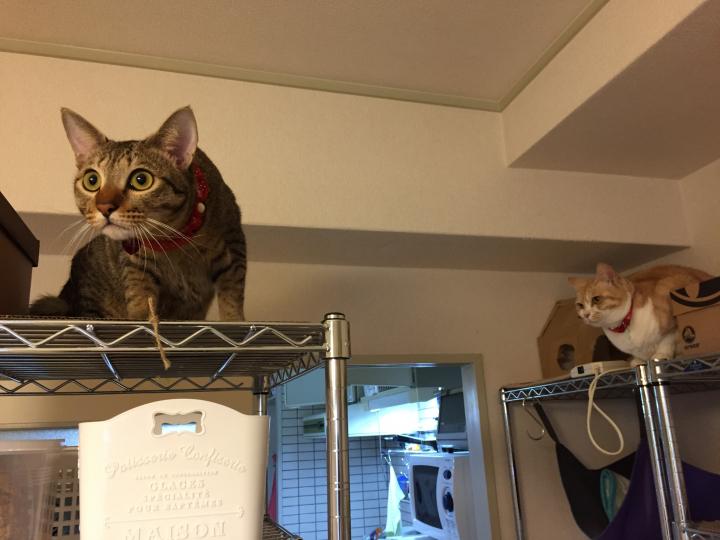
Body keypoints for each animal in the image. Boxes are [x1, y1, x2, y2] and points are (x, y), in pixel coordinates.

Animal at [30, 106, 247, 320]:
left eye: (141, 180)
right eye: (91, 180)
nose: (104, 207)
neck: (174, 241)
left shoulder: (234, 248)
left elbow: (232, 296)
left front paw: (233, 318)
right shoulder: (134, 262)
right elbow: (139, 296)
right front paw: (142, 318)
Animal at [569, 263, 711, 362]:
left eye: (596, 299)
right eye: (580, 305)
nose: (585, 315)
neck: (624, 327)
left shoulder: (670, 318)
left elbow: (667, 340)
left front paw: (661, 354)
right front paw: (637, 361)